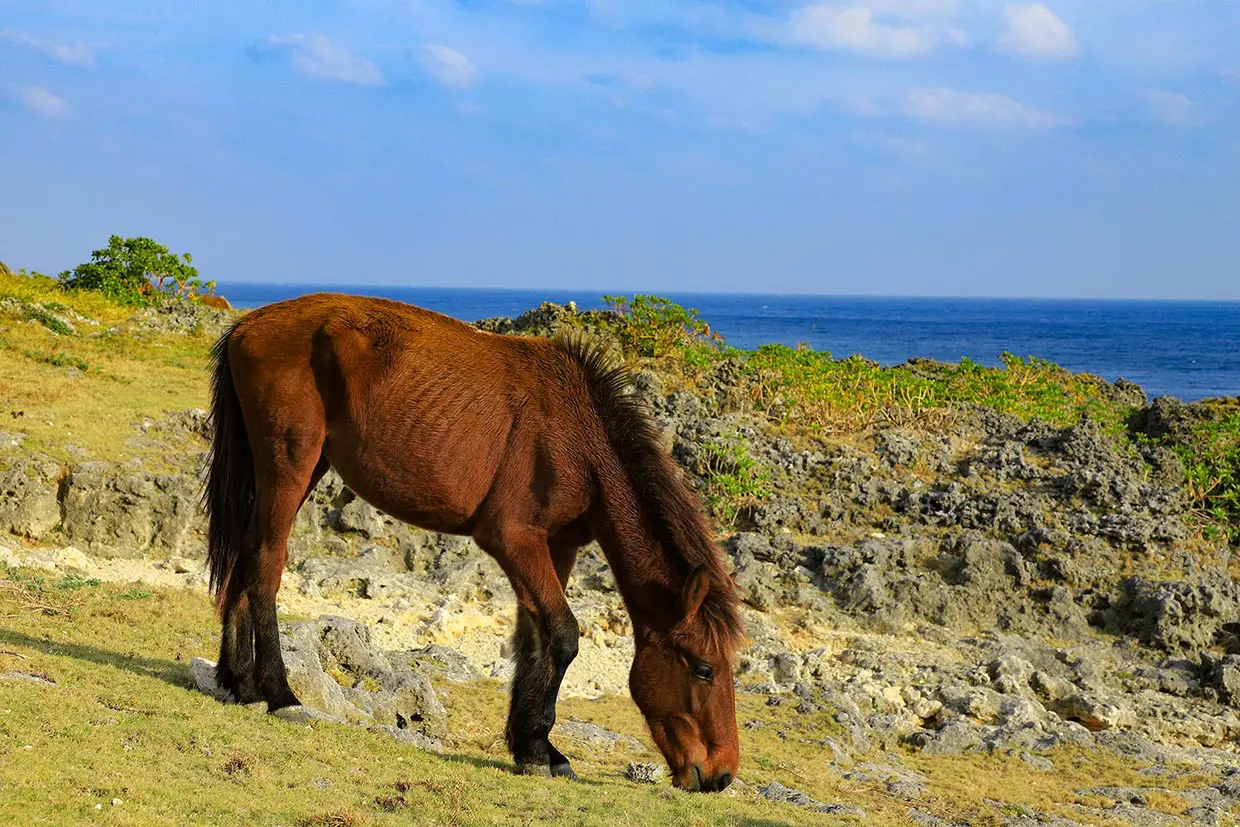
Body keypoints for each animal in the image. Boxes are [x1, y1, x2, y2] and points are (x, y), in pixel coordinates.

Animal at [203, 293, 744, 793]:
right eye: (703, 669)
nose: (721, 775)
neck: (578, 438)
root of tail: (248, 326)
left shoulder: (557, 547)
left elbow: (533, 638)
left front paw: (535, 747)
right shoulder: (513, 540)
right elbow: (563, 635)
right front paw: (537, 747)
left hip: (302, 467)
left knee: (245, 557)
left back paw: (237, 681)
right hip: (289, 463)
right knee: (265, 562)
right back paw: (280, 694)